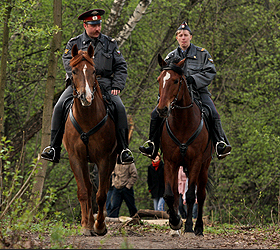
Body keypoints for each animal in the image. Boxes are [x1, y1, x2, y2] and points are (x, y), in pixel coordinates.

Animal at [62, 43, 117, 236]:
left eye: (94, 71)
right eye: (74, 70)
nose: (86, 97)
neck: (87, 119)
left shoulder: (104, 159)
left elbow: (101, 195)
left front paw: (100, 226)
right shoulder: (76, 158)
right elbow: (84, 191)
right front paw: (86, 226)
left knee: (102, 189)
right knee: (88, 187)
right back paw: (87, 222)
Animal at [156, 53, 213, 235]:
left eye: (176, 81)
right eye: (159, 79)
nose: (162, 109)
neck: (183, 123)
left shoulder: (195, 162)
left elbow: (190, 195)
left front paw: (189, 225)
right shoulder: (170, 162)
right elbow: (169, 194)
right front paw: (175, 222)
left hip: (204, 166)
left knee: (200, 195)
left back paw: (198, 227)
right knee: (176, 193)